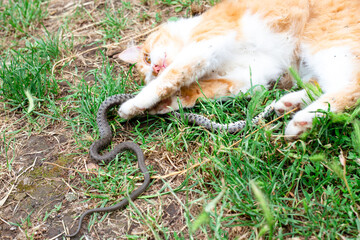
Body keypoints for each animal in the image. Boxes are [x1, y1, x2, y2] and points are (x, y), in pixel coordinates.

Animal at [118, 0, 360, 138]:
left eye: (147, 58)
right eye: (149, 71)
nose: (156, 68)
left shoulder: (205, 45)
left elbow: (172, 77)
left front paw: (133, 104)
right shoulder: (247, 80)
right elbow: (197, 91)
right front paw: (164, 104)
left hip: (328, 42)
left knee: (351, 89)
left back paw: (302, 121)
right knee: (325, 87)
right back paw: (289, 105)